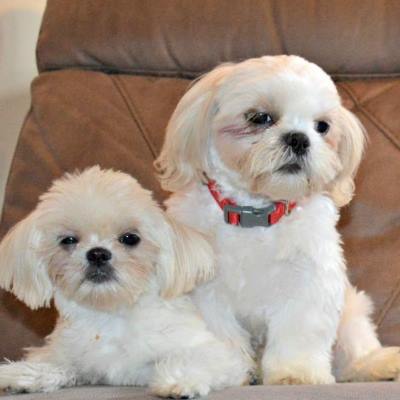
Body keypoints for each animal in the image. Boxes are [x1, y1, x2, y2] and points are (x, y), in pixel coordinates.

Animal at [0, 166, 252, 396]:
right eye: (68, 240)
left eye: (130, 238)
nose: (97, 253)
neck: (113, 316)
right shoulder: (72, 355)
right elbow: (57, 363)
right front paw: (22, 375)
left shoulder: (217, 353)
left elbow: (197, 359)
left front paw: (180, 381)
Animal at [155, 54, 400, 382]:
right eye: (260, 118)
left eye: (322, 126)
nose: (299, 139)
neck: (256, 215)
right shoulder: (206, 291)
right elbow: (221, 335)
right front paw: (223, 370)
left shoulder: (309, 282)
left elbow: (298, 334)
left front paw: (295, 374)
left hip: (351, 308)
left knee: (355, 349)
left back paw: (377, 365)